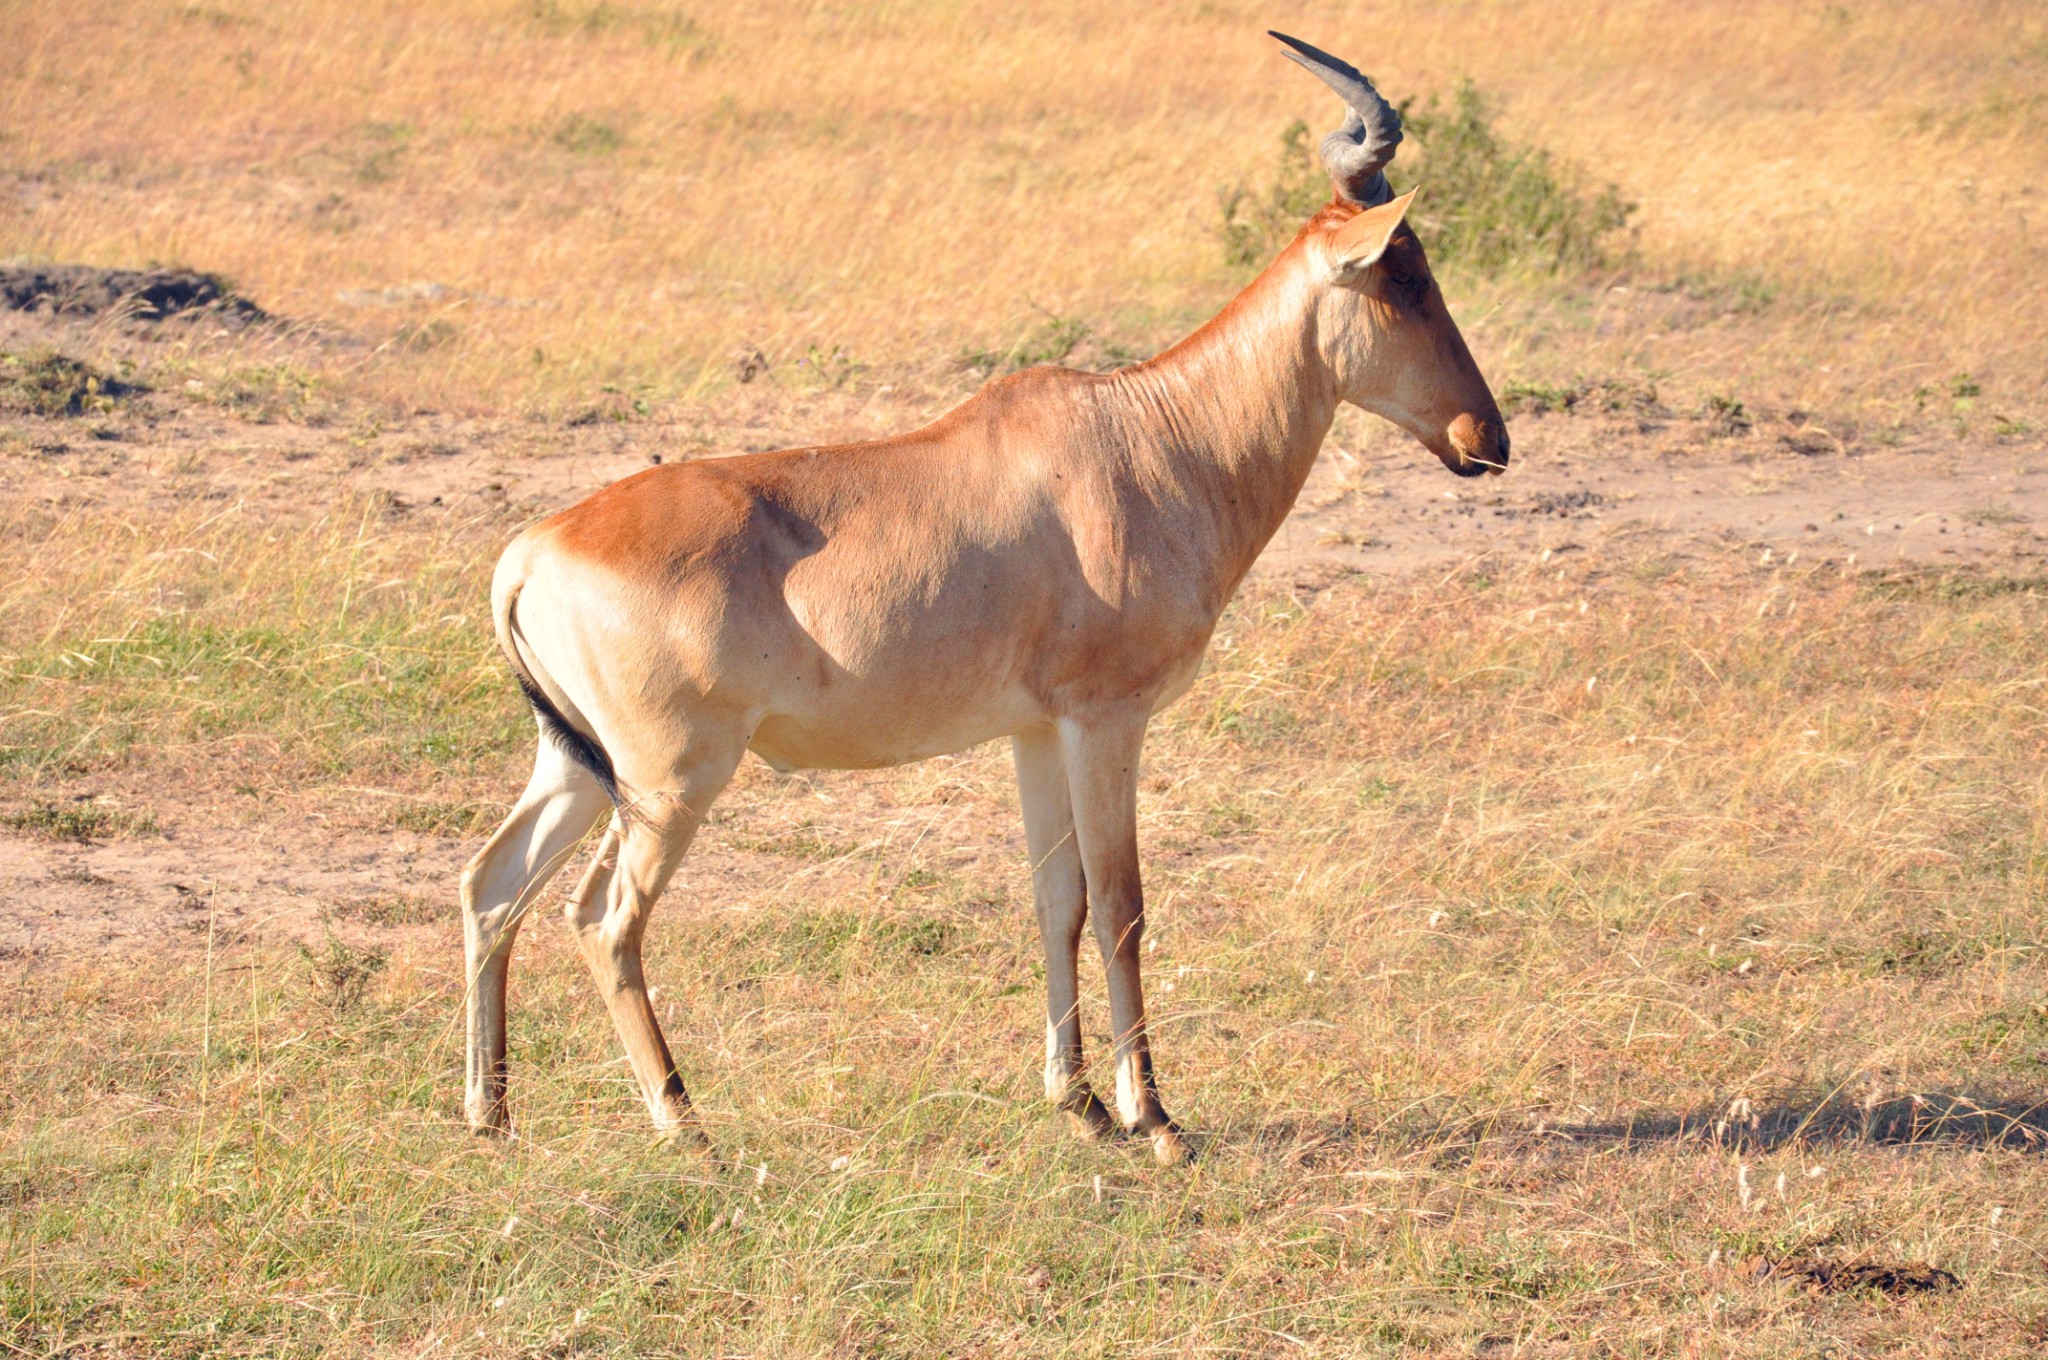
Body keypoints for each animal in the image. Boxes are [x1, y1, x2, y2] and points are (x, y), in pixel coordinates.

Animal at [471, 31, 1515, 1163]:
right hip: (670, 779)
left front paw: (1081, 1103)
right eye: (1405, 276)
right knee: (601, 917)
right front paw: (1157, 1120)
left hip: (580, 763)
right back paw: (686, 1125)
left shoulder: (1033, 731)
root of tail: (533, 548)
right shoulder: (1105, 719)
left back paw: (491, 1112)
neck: (1144, 435)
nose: (1486, 438)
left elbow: (1056, 898)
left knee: (493, 882)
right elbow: (1122, 903)